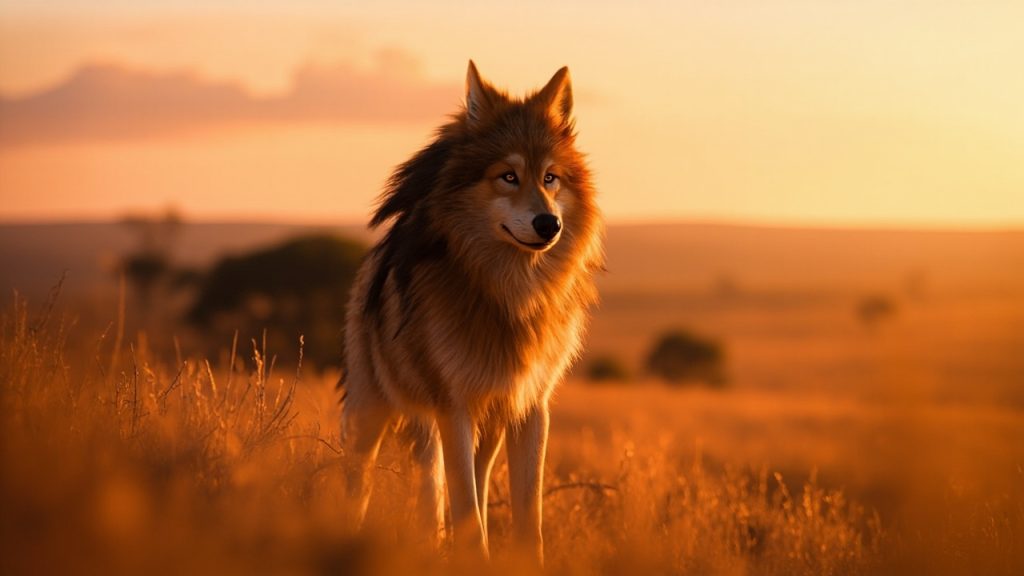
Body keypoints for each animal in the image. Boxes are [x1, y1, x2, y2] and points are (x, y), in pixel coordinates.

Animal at [340, 61, 604, 563]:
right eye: (508, 176)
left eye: (550, 178)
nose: (549, 224)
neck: (509, 295)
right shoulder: (453, 408)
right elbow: (467, 516)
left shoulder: (530, 408)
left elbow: (525, 519)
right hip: (371, 416)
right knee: (363, 484)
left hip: (486, 426)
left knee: (454, 489)